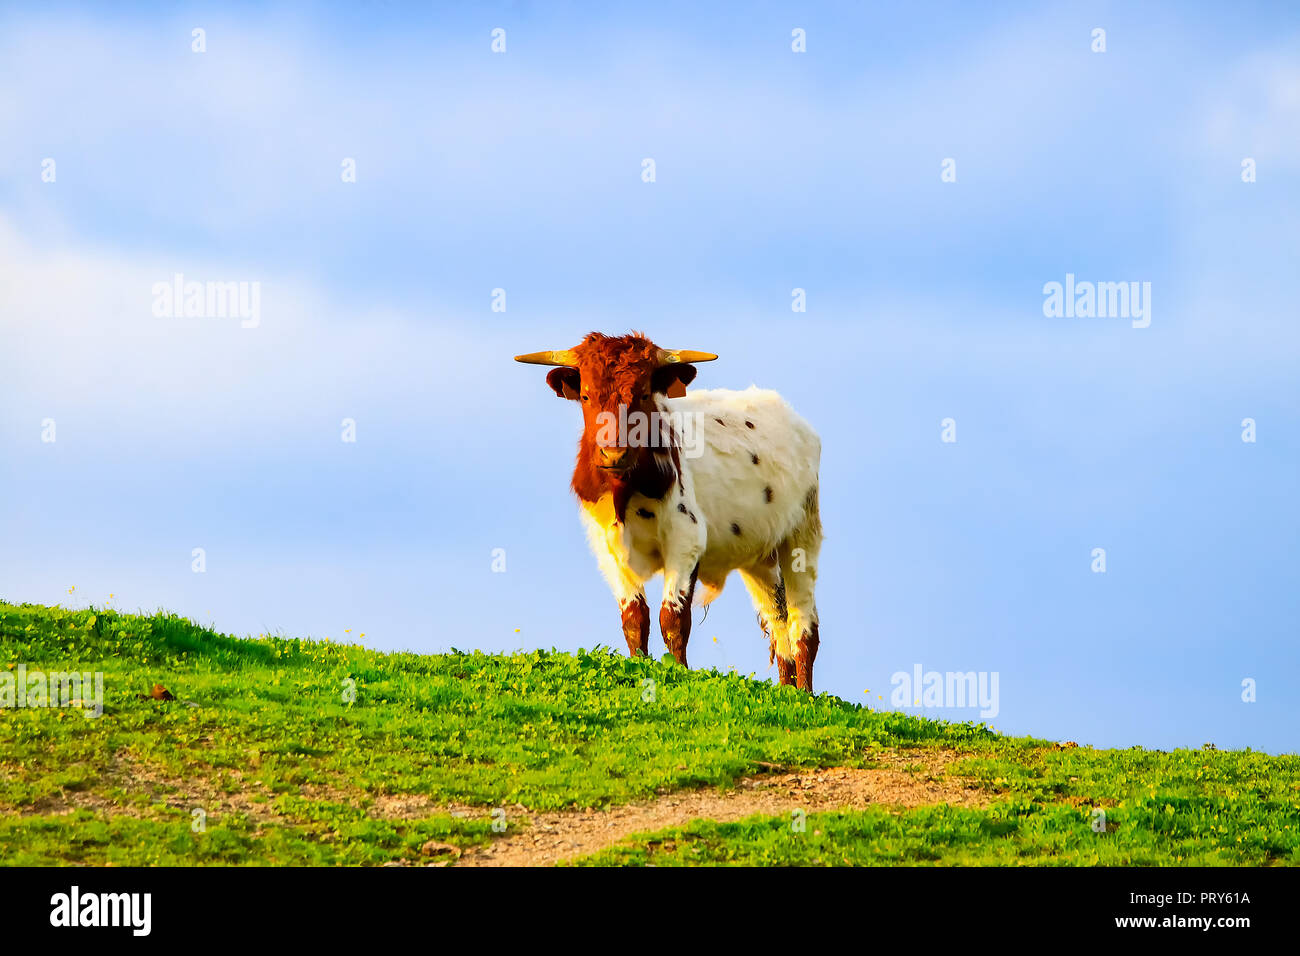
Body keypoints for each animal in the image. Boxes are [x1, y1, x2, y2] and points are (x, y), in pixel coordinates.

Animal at [516, 332, 824, 692]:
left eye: (643, 393)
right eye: (587, 395)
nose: (613, 453)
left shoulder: (685, 537)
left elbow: (673, 617)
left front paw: (678, 672)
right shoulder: (607, 546)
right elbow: (634, 617)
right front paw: (639, 664)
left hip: (803, 534)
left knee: (803, 622)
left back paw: (806, 694)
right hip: (758, 555)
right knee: (777, 619)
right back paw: (787, 690)